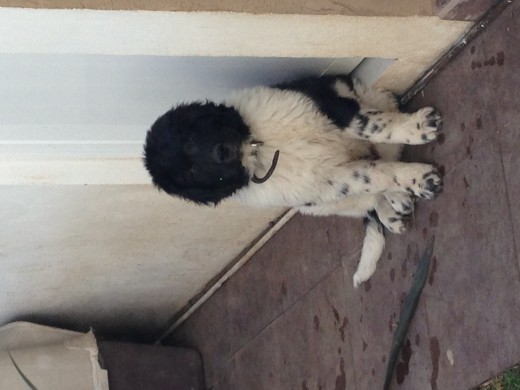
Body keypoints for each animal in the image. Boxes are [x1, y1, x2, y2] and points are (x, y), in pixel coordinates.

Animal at [143, 75, 442, 286]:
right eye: (191, 173)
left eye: (190, 141)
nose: (221, 152)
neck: (257, 149)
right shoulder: (333, 179)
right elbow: (377, 175)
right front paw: (417, 179)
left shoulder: (333, 108)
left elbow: (377, 128)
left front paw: (416, 132)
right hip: (319, 204)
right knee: (370, 196)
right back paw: (392, 208)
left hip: (370, 97)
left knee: (384, 141)